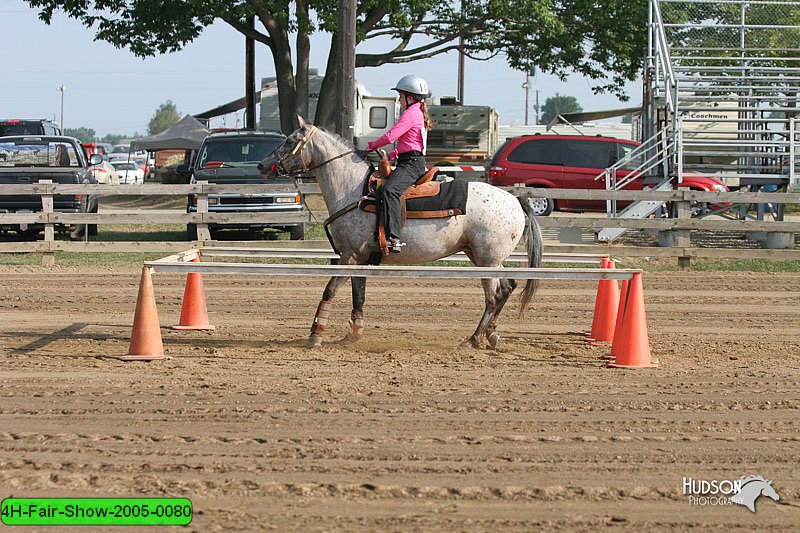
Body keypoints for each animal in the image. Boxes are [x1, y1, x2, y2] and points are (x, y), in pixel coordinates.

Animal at [260, 116, 548, 350]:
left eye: (290, 140)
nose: (262, 165)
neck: (353, 189)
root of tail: (515, 201)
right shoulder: (361, 259)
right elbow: (358, 295)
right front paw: (353, 334)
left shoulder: (349, 256)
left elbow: (329, 290)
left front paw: (315, 334)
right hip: (486, 259)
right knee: (508, 287)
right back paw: (491, 334)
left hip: (487, 262)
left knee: (493, 296)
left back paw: (474, 339)